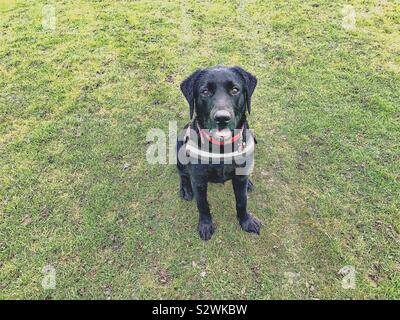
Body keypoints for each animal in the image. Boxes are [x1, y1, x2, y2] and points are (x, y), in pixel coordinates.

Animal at [176, 65, 260, 240]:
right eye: (205, 91)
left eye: (235, 90)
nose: (222, 118)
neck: (221, 149)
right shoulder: (199, 181)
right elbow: (202, 205)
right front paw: (205, 225)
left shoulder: (240, 178)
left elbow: (242, 201)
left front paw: (246, 221)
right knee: (183, 174)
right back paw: (185, 189)